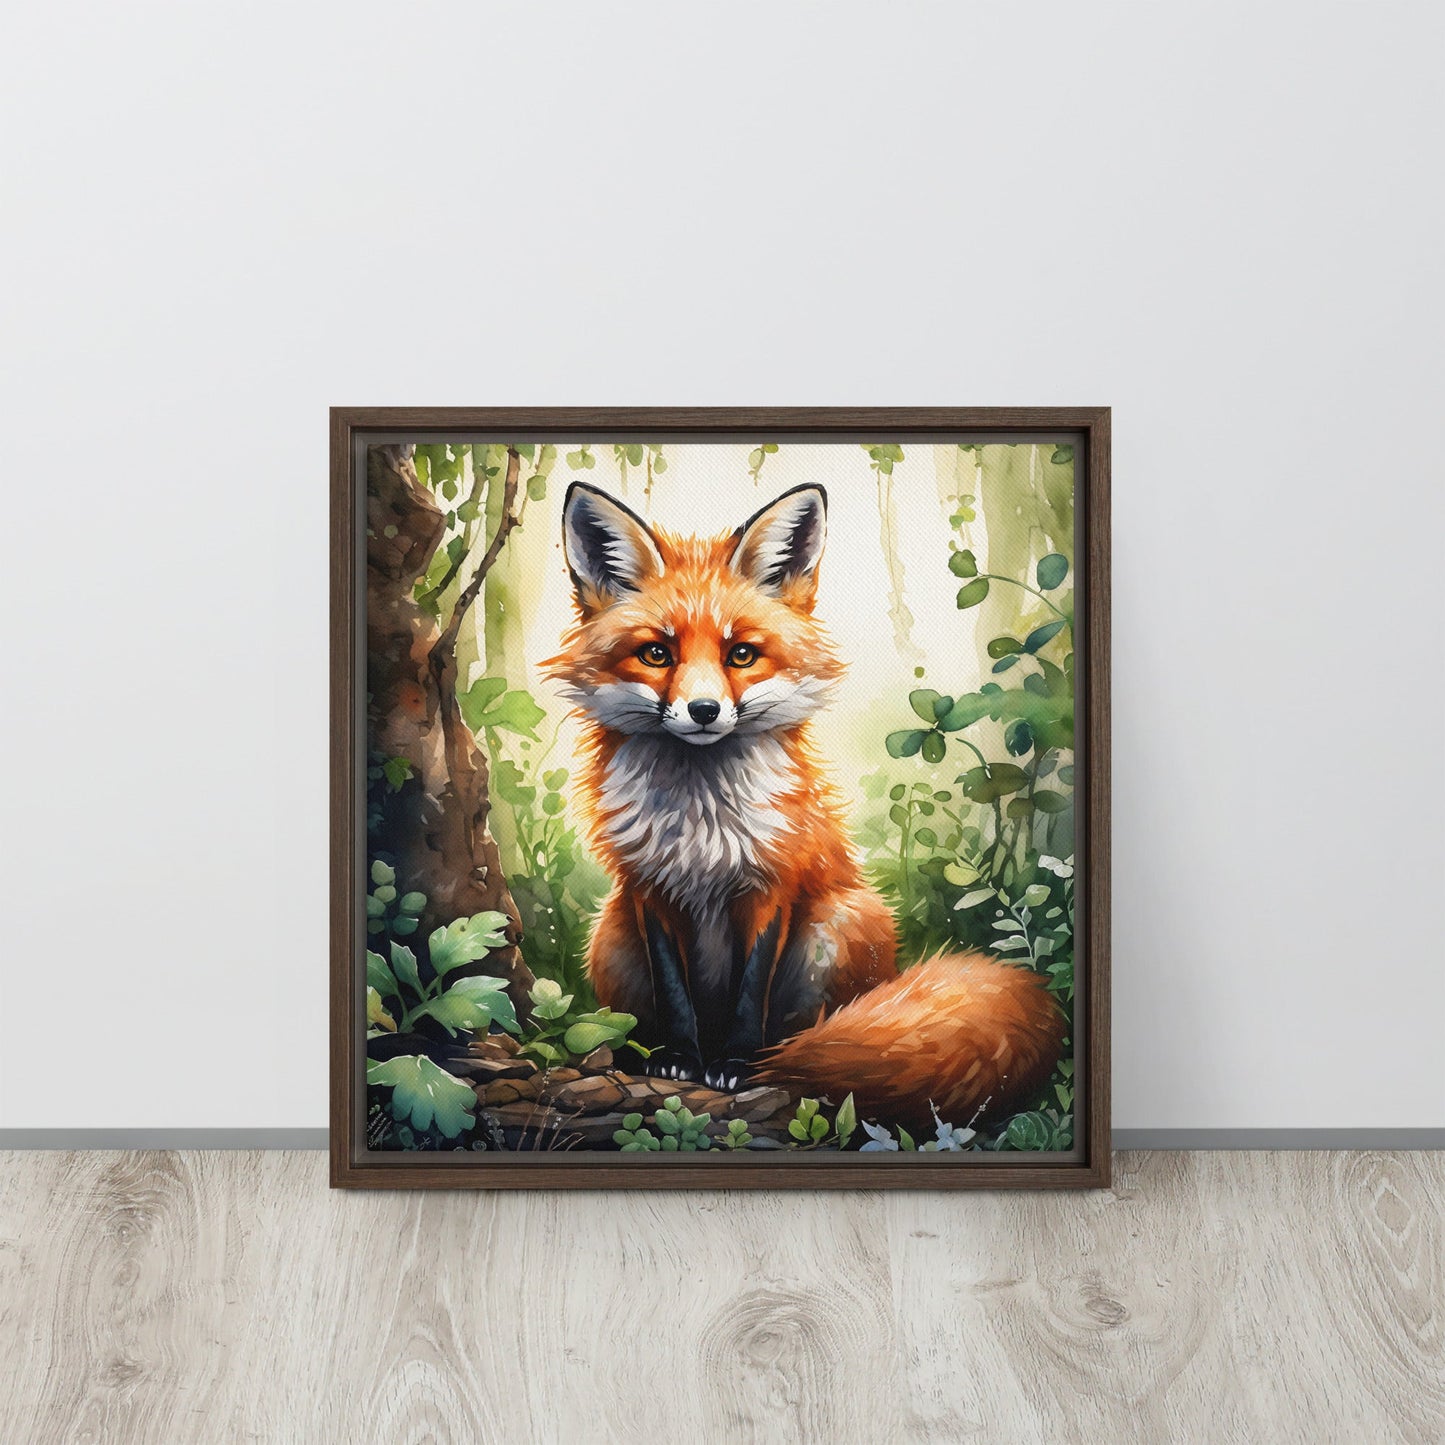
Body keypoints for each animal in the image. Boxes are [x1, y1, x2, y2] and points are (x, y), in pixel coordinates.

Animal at [543, 479, 1065, 1130]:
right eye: (656, 654)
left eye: (741, 654)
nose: (704, 711)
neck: (701, 821)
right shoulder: (648, 889)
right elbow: (675, 992)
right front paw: (678, 1059)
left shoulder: (774, 884)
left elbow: (751, 991)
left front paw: (737, 1066)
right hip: (609, 940)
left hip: (839, 924)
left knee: (807, 1033)